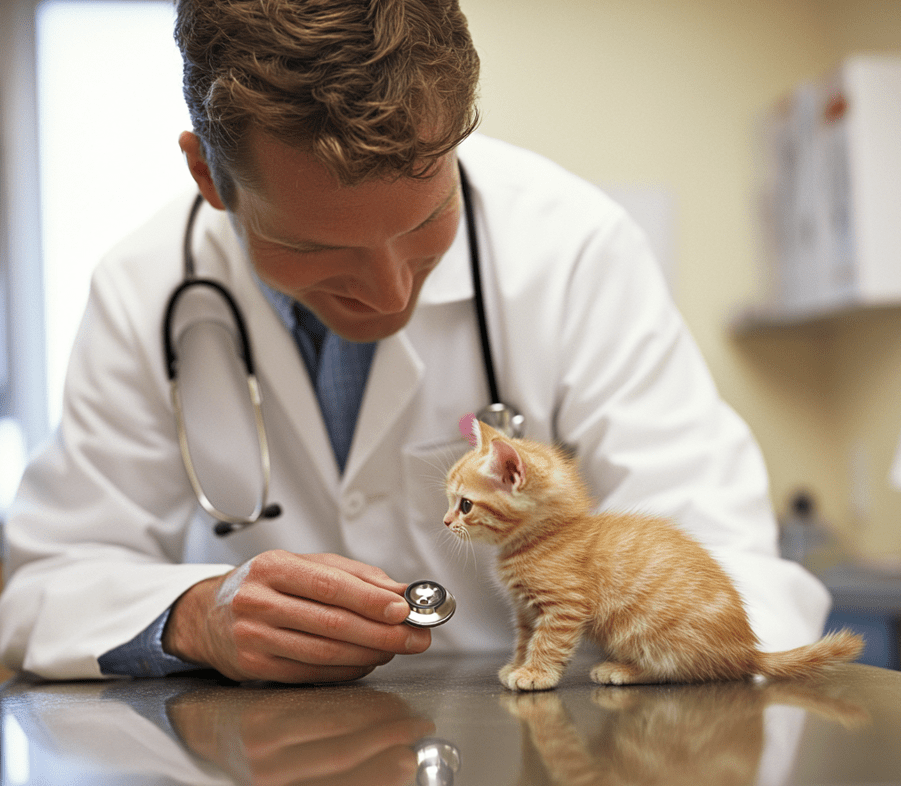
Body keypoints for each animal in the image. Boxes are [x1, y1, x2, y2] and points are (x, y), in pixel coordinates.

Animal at [444, 414, 864, 688]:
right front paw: (516, 664)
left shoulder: (564, 605)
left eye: (465, 505)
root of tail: (745, 649)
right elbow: (524, 639)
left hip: (646, 631)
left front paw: (536, 673)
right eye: (452, 503)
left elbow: (548, 642)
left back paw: (622, 670)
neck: (545, 537)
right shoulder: (526, 610)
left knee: (681, 670)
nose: (446, 522)